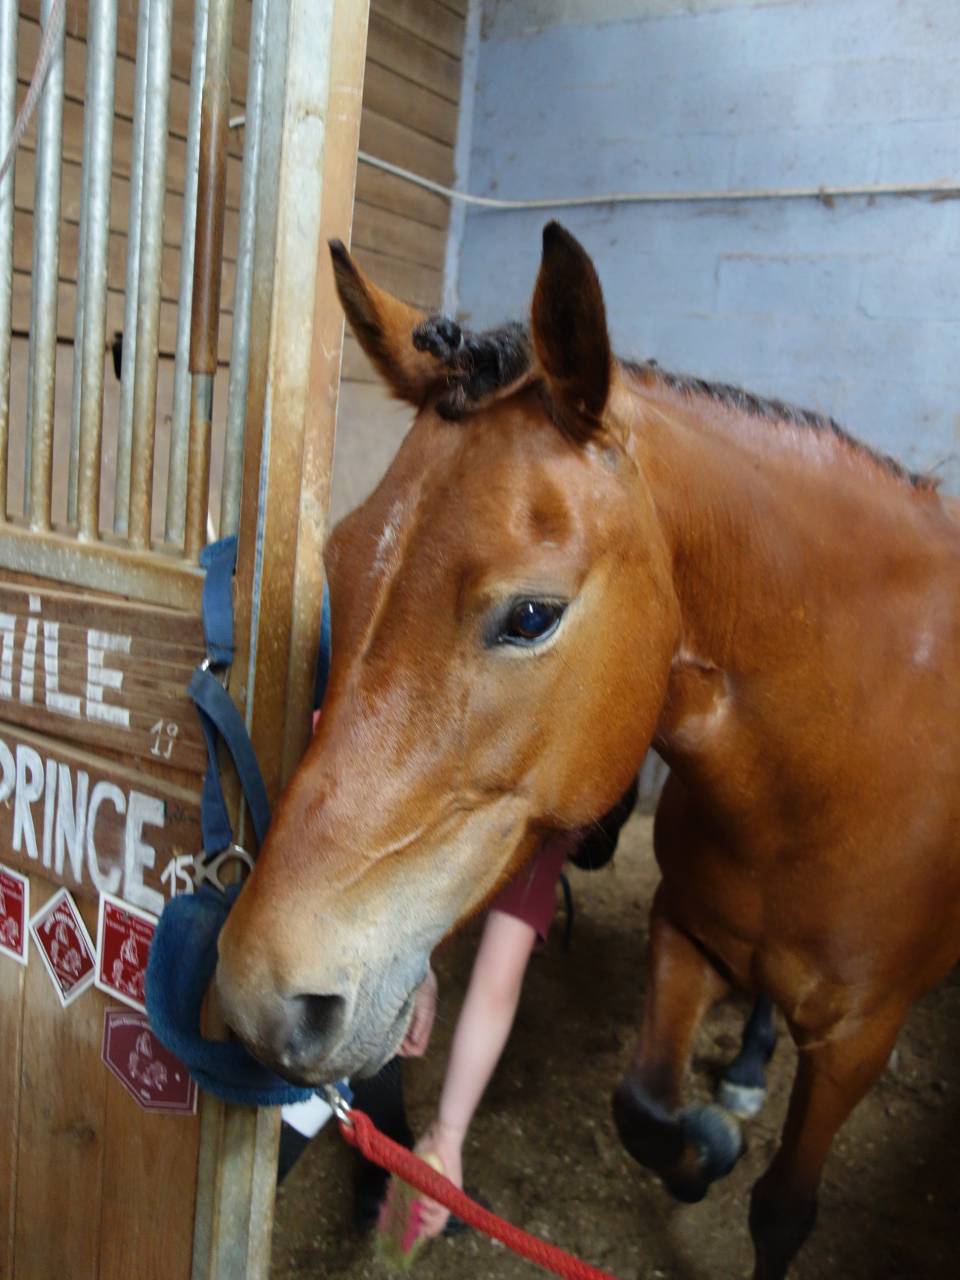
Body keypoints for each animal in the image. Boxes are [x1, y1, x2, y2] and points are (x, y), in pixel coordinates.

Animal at [215, 222, 960, 1279]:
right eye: (341, 564)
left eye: (532, 616)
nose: (259, 997)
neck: (843, 750)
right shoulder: (684, 932)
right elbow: (642, 1108)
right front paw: (703, 1149)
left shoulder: (861, 1037)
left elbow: (782, 1212)